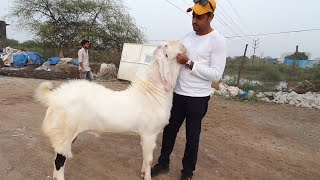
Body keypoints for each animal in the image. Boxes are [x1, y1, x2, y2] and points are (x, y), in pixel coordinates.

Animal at [36, 40, 186, 180]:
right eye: (166, 46)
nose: (182, 45)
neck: (152, 92)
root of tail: (54, 96)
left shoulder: (144, 134)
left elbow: (144, 156)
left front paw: (143, 173)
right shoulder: (150, 133)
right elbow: (149, 159)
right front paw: (148, 176)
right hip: (65, 131)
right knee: (60, 159)